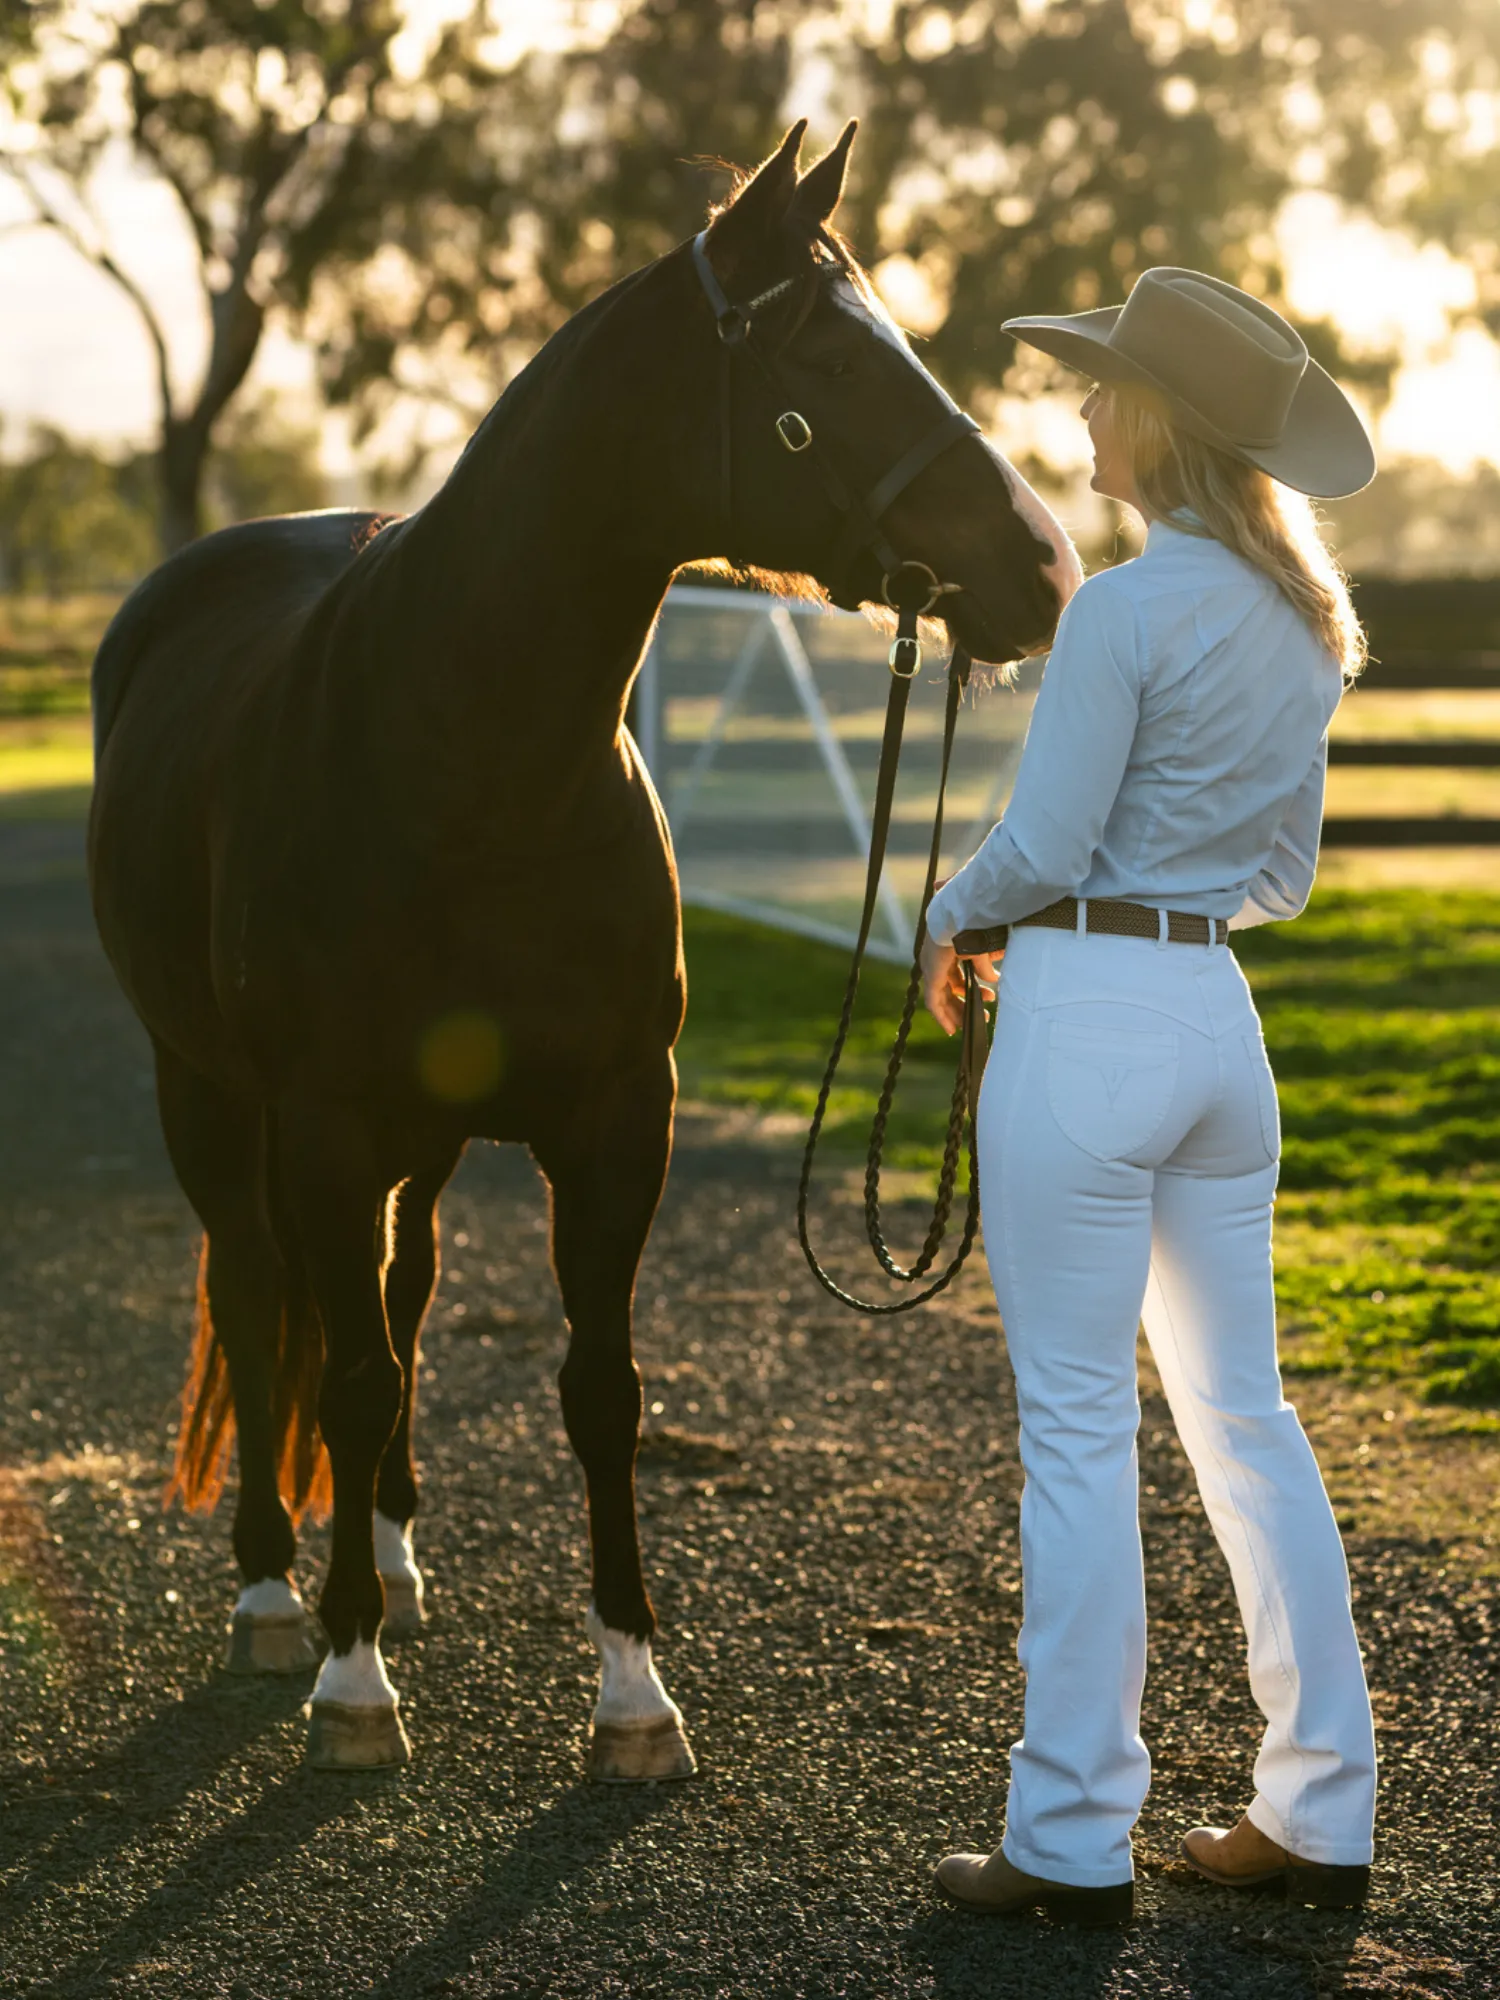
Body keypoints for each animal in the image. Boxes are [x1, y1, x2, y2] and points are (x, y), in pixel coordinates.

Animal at [85, 125, 1080, 1776]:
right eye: (831, 363)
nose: (1047, 567)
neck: (467, 756)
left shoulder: (620, 1117)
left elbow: (596, 1389)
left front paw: (630, 1691)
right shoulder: (326, 1123)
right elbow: (339, 1373)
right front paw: (349, 1681)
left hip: (414, 1144)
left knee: (404, 1293)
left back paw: (393, 1556)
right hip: (208, 1099)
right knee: (264, 1299)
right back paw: (279, 1592)